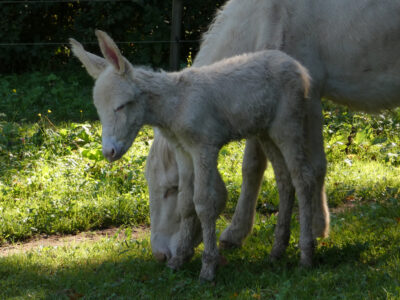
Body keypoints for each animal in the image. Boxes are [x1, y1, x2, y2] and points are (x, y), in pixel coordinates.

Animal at [72, 31, 316, 282]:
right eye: (99, 110)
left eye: (121, 106)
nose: (108, 153)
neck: (176, 104)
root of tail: (297, 66)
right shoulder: (183, 151)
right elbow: (186, 203)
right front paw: (178, 260)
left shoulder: (204, 148)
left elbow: (204, 203)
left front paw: (208, 268)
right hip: (266, 131)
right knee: (284, 181)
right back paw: (277, 251)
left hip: (288, 124)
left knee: (303, 179)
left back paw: (306, 255)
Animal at [147, 0, 400, 264]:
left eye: (171, 190)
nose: (160, 255)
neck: (268, 18)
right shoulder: (262, 107)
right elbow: (254, 166)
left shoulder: (307, 100)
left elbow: (311, 168)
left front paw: (316, 228)